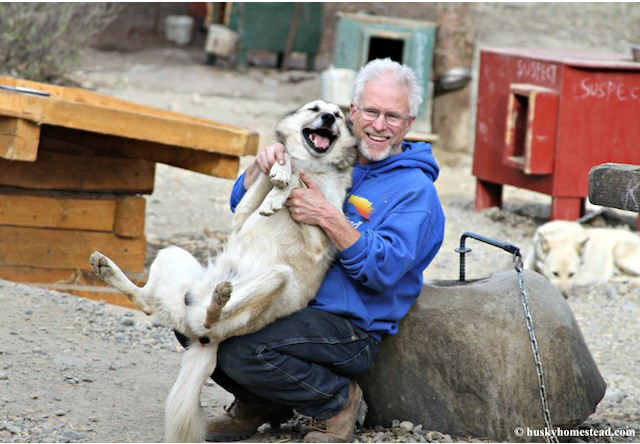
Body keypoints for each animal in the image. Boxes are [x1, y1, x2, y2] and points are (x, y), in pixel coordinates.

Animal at [88, 99, 358, 442]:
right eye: (315, 109)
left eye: (337, 116)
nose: (327, 118)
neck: (316, 166)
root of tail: (199, 333)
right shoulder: (241, 216)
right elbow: (277, 168)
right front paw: (279, 168)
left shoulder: (321, 238)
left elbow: (298, 181)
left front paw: (284, 182)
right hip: (172, 253)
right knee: (147, 302)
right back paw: (106, 269)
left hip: (278, 277)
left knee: (209, 318)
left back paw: (218, 301)